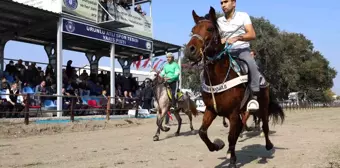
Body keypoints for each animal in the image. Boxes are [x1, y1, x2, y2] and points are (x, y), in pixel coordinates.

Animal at [183, 6, 284, 168]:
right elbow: (202, 132)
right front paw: (218, 145)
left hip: (262, 106)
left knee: (265, 125)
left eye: (210, 28)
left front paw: (231, 161)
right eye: (193, 30)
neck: (218, 78)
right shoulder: (211, 110)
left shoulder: (233, 112)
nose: (190, 50)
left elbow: (231, 136)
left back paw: (268, 146)